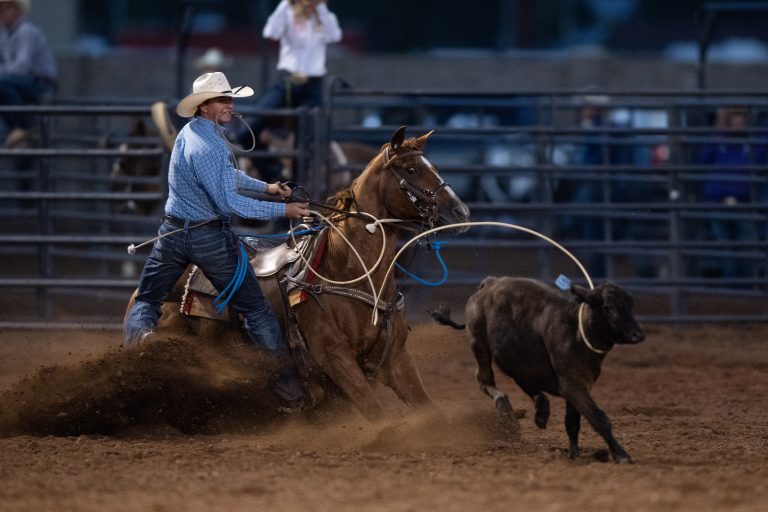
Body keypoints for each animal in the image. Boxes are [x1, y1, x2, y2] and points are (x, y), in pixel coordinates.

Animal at [436, 278, 644, 462]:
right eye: (608, 307)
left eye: (631, 304)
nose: (638, 334)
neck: (577, 330)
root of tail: (489, 283)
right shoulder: (572, 385)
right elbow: (599, 418)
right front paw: (621, 454)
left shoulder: (575, 386)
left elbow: (572, 423)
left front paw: (574, 455)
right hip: (478, 345)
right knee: (485, 380)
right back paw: (507, 410)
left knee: (524, 382)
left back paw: (541, 411)